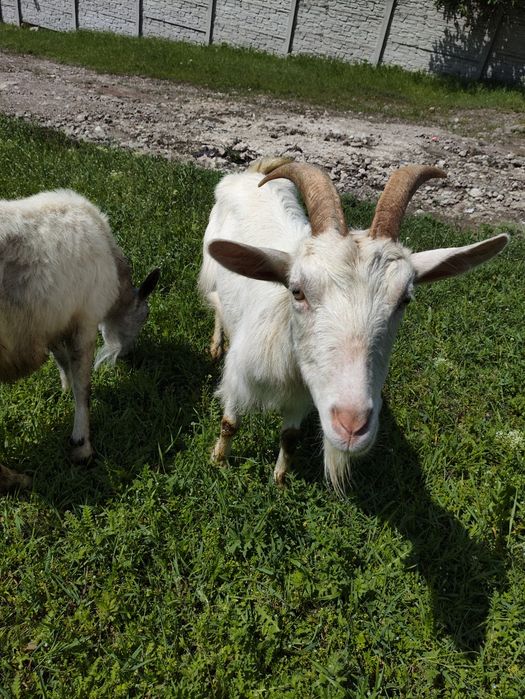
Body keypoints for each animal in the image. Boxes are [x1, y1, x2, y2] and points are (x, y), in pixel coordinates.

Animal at [0, 189, 159, 493]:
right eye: (144, 316)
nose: (127, 356)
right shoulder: (85, 320)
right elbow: (83, 388)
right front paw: (82, 446)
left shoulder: (55, 320)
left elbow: (61, 361)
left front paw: (63, 389)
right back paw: (15, 480)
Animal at [199, 158, 509, 495]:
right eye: (297, 291)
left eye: (405, 299)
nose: (352, 426)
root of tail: (252, 174)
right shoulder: (238, 379)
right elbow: (230, 423)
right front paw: (218, 461)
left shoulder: (304, 397)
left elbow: (290, 438)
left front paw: (280, 480)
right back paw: (216, 344)